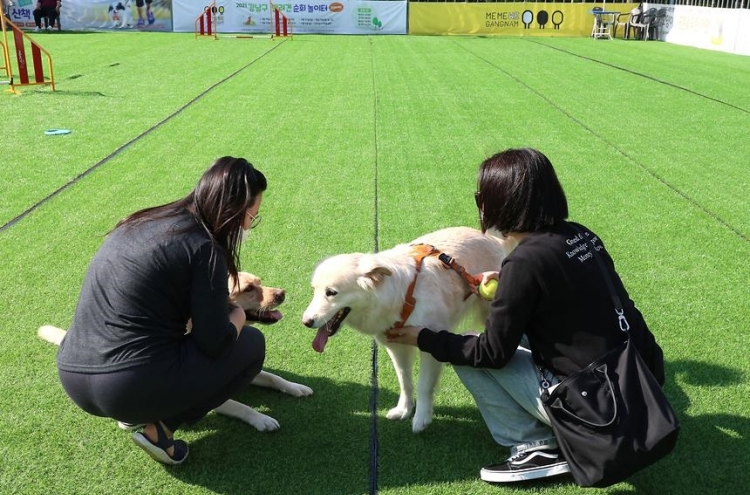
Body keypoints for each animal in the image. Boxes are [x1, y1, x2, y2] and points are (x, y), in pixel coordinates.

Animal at [36, 274, 312, 432]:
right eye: (247, 289)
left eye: (260, 282)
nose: (281, 293)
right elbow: (240, 406)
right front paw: (261, 419)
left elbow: (274, 377)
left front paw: (295, 387)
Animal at [302, 227, 508, 432]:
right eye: (314, 290)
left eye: (331, 293)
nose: (305, 322)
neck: (403, 297)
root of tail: (492, 238)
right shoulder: (396, 348)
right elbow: (405, 381)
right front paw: (404, 410)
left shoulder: (429, 346)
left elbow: (423, 385)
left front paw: (421, 418)